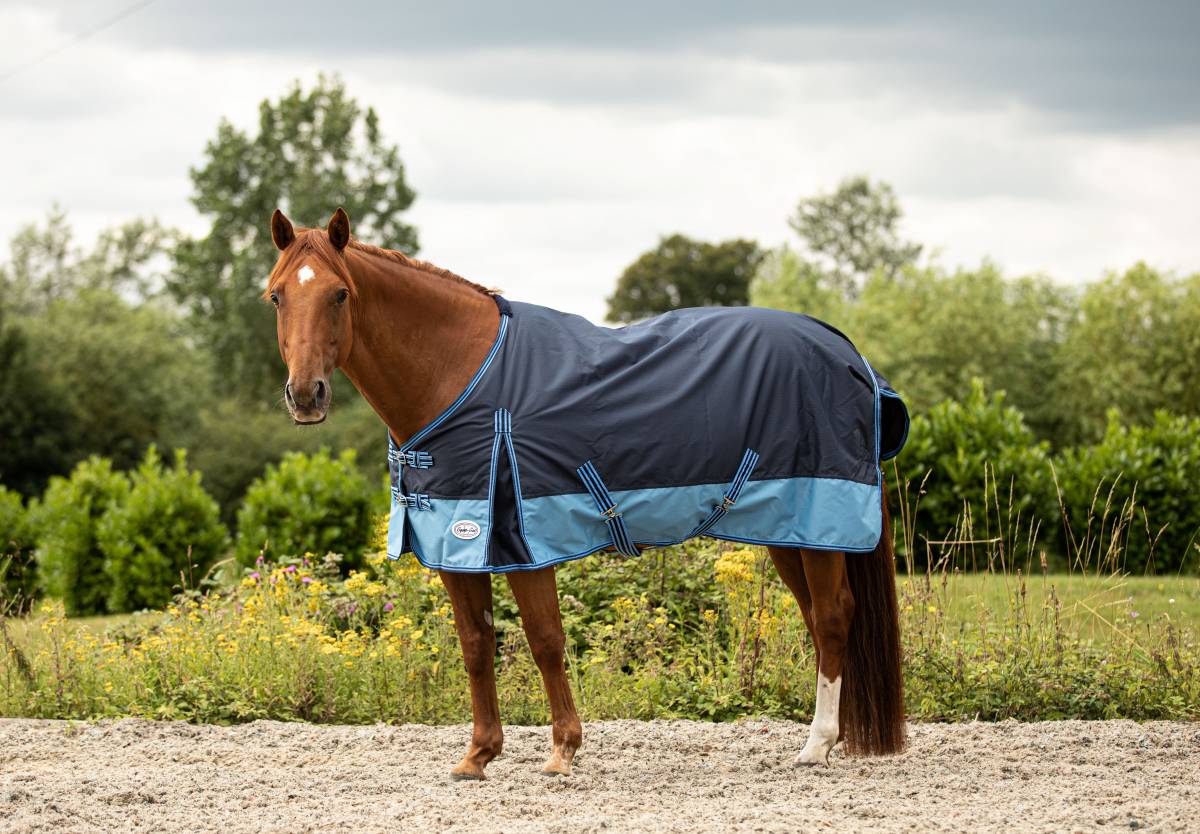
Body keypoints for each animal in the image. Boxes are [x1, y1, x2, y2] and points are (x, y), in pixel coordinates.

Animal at [265, 207, 906, 779]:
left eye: (339, 294)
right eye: (276, 296)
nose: (306, 395)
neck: (461, 374)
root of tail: (846, 351)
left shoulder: (523, 544)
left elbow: (545, 640)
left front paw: (562, 751)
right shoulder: (455, 545)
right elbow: (476, 644)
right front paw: (478, 755)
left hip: (819, 525)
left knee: (831, 616)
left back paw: (816, 746)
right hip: (786, 530)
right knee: (818, 616)